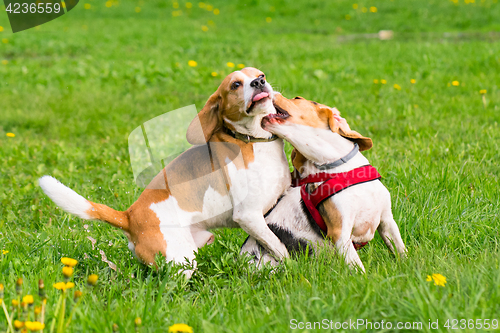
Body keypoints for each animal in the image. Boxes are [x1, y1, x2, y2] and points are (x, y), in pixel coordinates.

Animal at [41, 67, 292, 274]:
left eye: (261, 75)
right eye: (235, 85)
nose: (259, 82)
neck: (254, 140)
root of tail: (128, 216)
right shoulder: (248, 216)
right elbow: (278, 246)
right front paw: (292, 265)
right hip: (181, 260)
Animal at [240, 92, 408, 270]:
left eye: (297, 98)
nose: (273, 91)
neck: (337, 166)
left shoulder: (387, 221)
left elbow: (400, 249)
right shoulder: (340, 232)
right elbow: (358, 269)